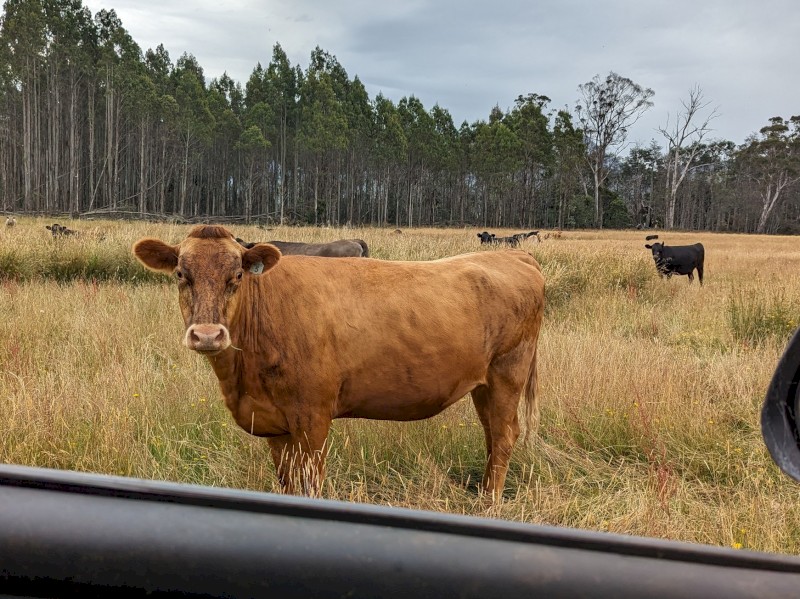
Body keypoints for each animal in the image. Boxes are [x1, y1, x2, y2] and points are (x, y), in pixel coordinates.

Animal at [133, 225, 545, 501]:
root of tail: (515, 255)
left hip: (508, 372)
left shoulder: (313, 419)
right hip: (484, 385)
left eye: (236, 275)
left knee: (505, 435)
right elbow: (288, 483)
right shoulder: (275, 426)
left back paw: (490, 503)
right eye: (180, 274)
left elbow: (311, 483)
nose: (207, 335)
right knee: (491, 434)